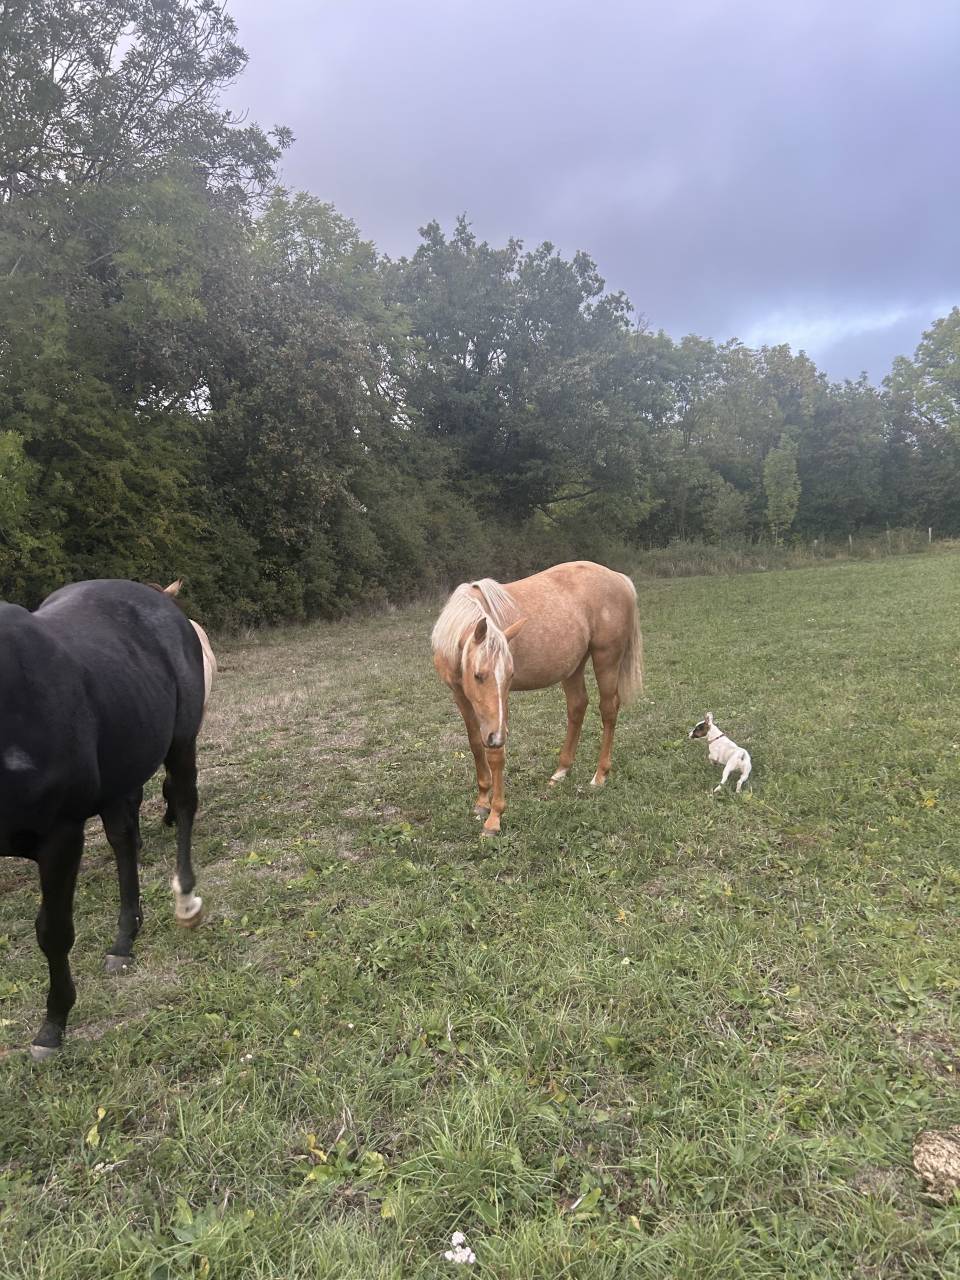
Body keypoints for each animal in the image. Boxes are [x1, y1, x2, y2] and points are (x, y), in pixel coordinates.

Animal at [0, 579, 211, 1059]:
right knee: (124, 843)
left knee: (183, 803)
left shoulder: (60, 836)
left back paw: (185, 899)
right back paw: (124, 939)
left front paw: (52, 1026)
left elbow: (54, 931)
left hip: (181, 741)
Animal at [432, 561, 643, 835]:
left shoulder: (501, 708)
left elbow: (495, 755)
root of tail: (618, 578)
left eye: (511, 675)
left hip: (606, 659)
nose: (496, 736)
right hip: (573, 666)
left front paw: (494, 817)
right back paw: (561, 772)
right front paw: (481, 802)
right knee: (577, 707)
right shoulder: (461, 697)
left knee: (608, 710)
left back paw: (599, 776)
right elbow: (476, 745)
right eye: (478, 675)